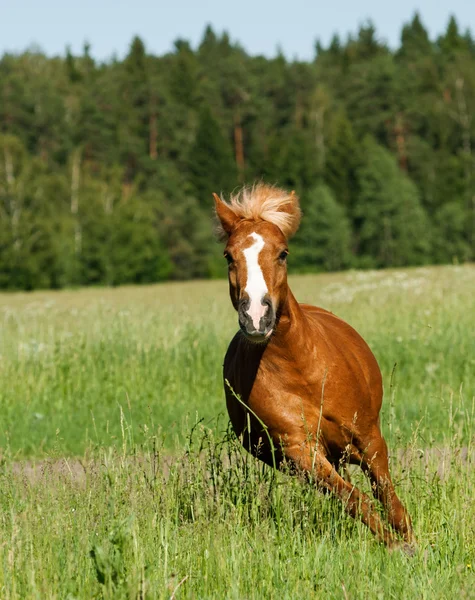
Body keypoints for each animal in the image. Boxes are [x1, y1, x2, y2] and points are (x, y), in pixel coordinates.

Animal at [215, 183, 416, 552]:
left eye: (283, 253)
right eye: (228, 256)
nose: (256, 316)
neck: (302, 371)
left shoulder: (368, 436)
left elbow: (386, 495)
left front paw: (412, 542)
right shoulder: (301, 451)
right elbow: (354, 500)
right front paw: (396, 547)